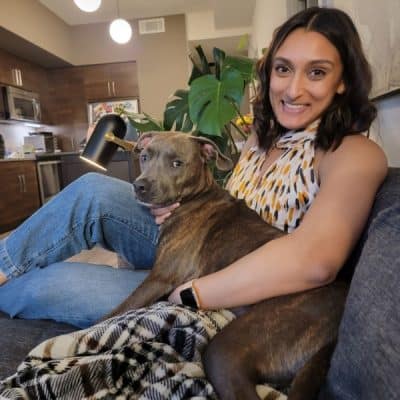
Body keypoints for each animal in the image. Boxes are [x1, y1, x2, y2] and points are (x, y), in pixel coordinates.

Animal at [106, 132, 346, 400]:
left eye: (177, 163)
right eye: (145, 157)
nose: (140, 186)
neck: (196, 197)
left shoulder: (160, 278)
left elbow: (115, 312)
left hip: (228, 351)